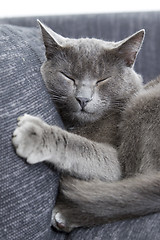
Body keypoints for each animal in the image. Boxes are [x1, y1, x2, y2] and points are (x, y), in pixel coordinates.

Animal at [12, 21, 160, 232]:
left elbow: (81, 145)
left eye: (102, 79)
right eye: (68, 76)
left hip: (143, 103)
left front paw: (34, 133)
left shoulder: (115, 165)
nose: (83, 99)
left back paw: (65, 215)